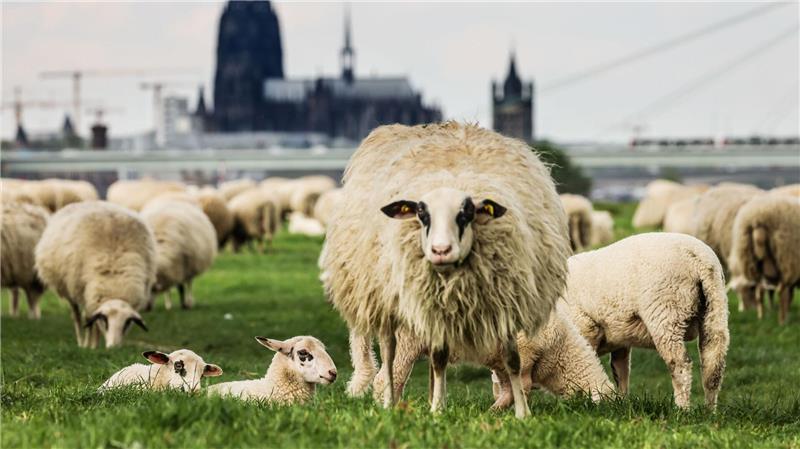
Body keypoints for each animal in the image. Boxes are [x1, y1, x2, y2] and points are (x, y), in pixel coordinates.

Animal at [34, 201, 157, 348]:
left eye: (127, 323)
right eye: (105, 320)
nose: (113, 347)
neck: (114, 279)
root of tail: (86, 202)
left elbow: (94, 323)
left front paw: (95, 345)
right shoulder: (85, 294)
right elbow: (90, 321)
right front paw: (91, 346)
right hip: (69, 290)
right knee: (77, 316)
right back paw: (82, 342)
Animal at [320, 122, 571, 418]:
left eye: (466, 214)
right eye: (422, 214)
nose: (441, 250)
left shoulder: (504, 301)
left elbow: (512, 359)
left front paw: (523, 413)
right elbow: (438, 357)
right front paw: (437, 410)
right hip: (383, 297)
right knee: (390, 352)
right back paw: (392, 402)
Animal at [370, 302, 614, 409]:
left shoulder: (503, 363)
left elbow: (508, 389)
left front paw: (495, 411)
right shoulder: (525, 354)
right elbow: (522, 387)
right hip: (407, 340)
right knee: (387, 377)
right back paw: (387, 408)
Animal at [561, 232, 729, 409]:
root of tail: (699, 257)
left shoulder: (584, 327)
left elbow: (586, 364)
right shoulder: (620, 341)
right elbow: (620, 371)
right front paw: (621, 402)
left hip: (666, 312)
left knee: (680, 364)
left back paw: (682, 408)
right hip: (715, 307)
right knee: (713, 365)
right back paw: (709, 409)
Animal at [728, 194, 800, 324]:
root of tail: (758, 219)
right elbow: (789, 295)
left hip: (754, 265)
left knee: (759, 291)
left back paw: (761, 317)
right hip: (786, 262)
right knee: (781, 291)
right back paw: (782, 321)